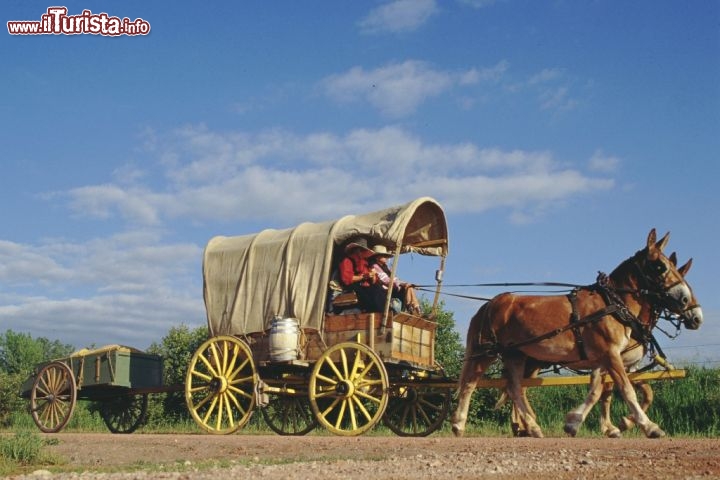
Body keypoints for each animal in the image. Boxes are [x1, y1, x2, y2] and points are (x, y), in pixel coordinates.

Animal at [452, 230, 704, 438]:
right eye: (660, 266)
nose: (693, 311)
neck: (614, 305)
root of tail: (490, 304)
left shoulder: (605, 359)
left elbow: (597, 390)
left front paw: (576, 423)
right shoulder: (612, 355)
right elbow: (626, 389)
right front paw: (648, 426)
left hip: (516, 355)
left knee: (514, 388)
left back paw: (531, 427)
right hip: (485, 351)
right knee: (470, 383)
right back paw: (459, 423)